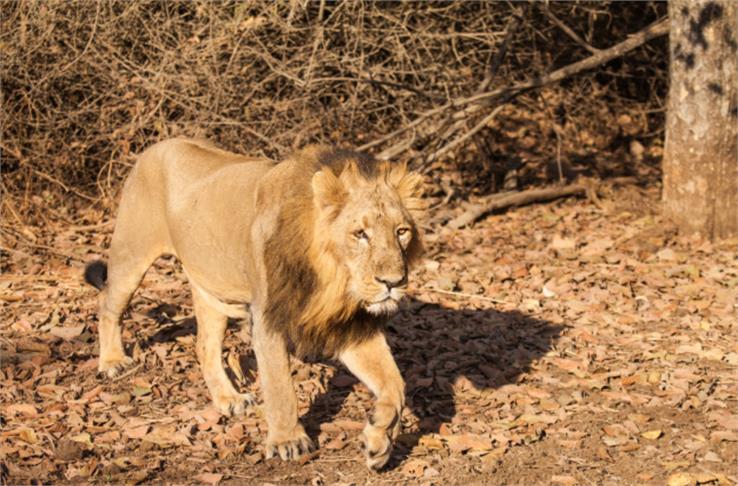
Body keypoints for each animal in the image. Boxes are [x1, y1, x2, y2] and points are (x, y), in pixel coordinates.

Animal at [83, 138, 422, 470]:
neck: (331, 281)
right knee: (107, 304)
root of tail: (156, 146)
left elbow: (396, 384)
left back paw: (228, 399)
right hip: (131, 256)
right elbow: (279, 385)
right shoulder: (267, 317)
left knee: (205, 347)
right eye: (360, 234)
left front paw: (380, 439)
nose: (393, 282)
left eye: (401, 232)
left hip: (214, 293)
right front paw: (288, 441)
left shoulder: (350, 326)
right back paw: (112, 362)